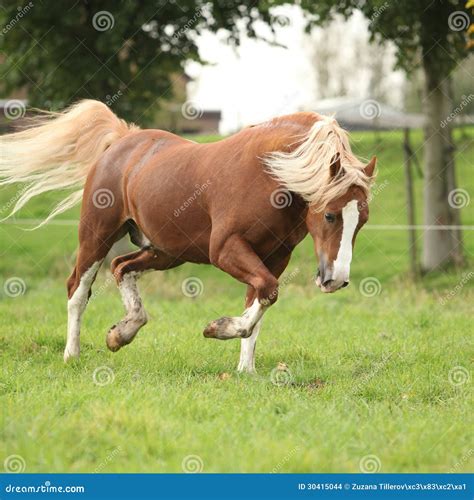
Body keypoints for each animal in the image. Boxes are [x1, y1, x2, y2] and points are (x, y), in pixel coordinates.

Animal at [0, 101, 378, 374]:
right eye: (329, 215)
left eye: (362, 221)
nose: (336, 280)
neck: (273, 175)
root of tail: (122, 139)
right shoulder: (225, 249)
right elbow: (267, 294)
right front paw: (217, 329)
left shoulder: (274, 257)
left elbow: (259, 304)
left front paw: (245, 370)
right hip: (97, 235)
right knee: (78, 290)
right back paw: (72, 354)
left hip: (166, 250)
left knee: (122, 267)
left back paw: (122, 332)